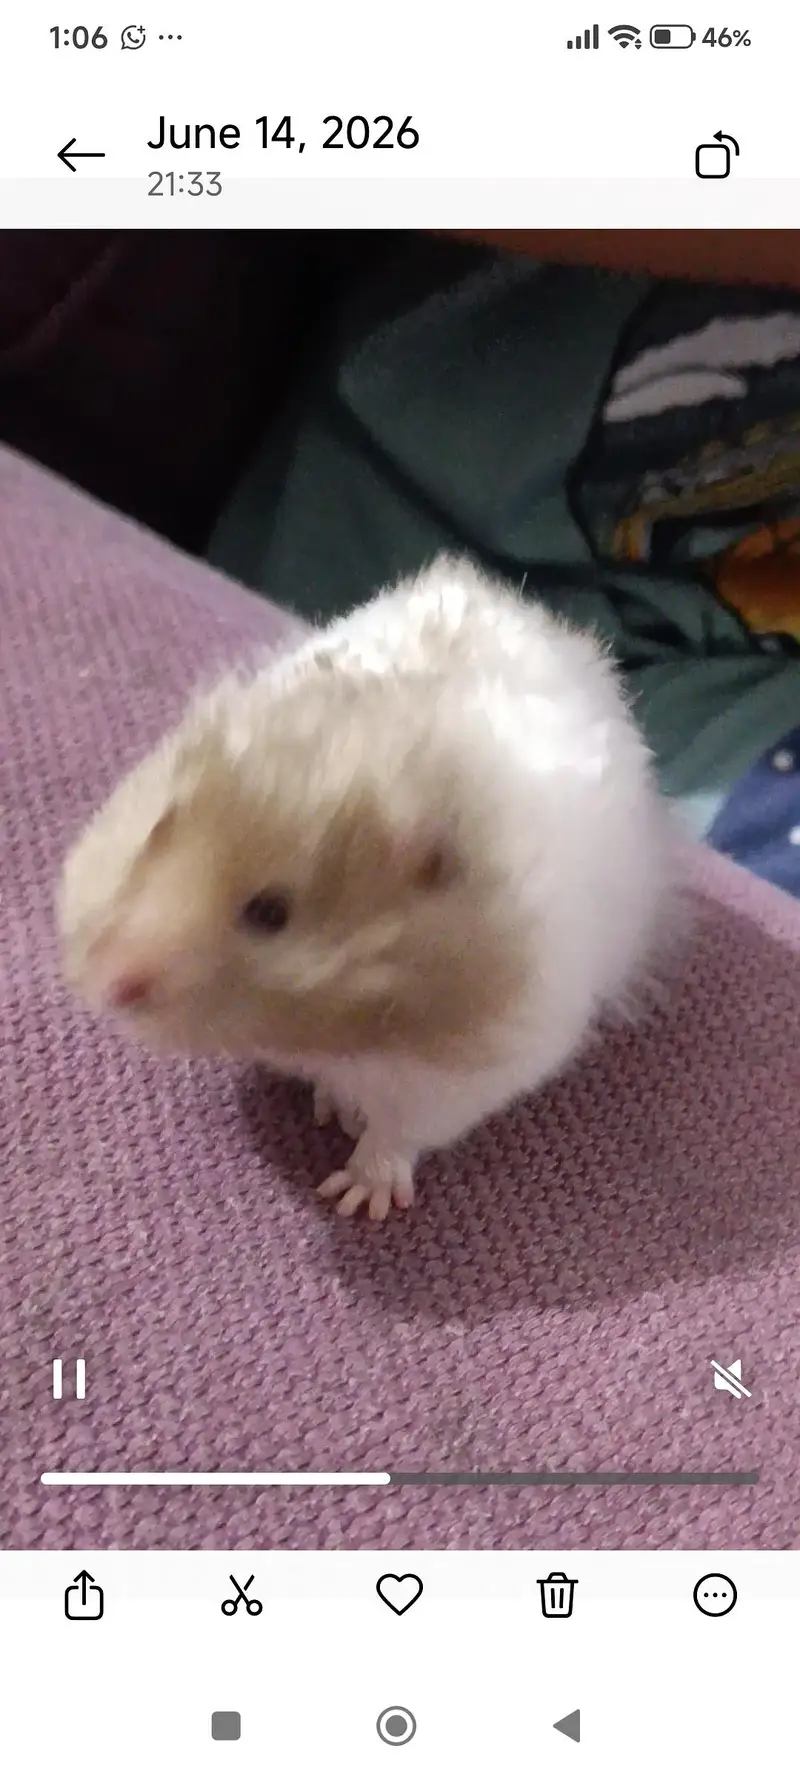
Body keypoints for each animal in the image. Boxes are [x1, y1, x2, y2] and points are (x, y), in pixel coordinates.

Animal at [58, 555, 680, 1221]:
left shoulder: (468, 1073)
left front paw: (358, 1199)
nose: (102, 986)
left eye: (271, 912)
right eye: (157, 829)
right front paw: (332, 1107)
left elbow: (398, 1134)